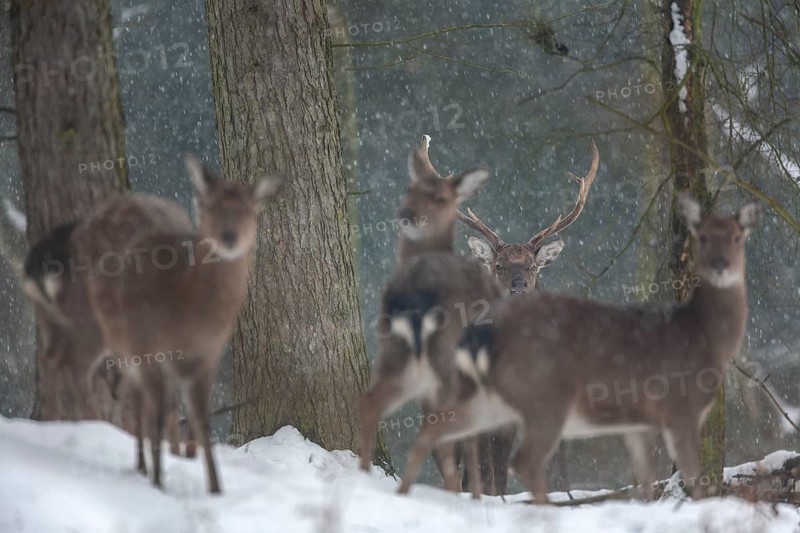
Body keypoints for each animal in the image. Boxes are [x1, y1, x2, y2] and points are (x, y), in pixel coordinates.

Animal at [69, 156, 282, 493]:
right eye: (209, 205)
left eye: (251, 209)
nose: (229, 236)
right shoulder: (149, 349)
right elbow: (159, 415)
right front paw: (159, 483)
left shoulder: (207, 357)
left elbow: (201, 419)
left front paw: (216, 488)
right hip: (112, 335)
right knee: (128, 395)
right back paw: (137, 463)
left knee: (152, 403)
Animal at [359, 135, 503, 498]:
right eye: (410, 188)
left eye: (439, 197)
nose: (406, 215)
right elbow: (469, 441)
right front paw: (474, 494)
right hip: (445, 358)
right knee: (438, 428)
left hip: (394, 350)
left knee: (371, 402)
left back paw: (365, 476)